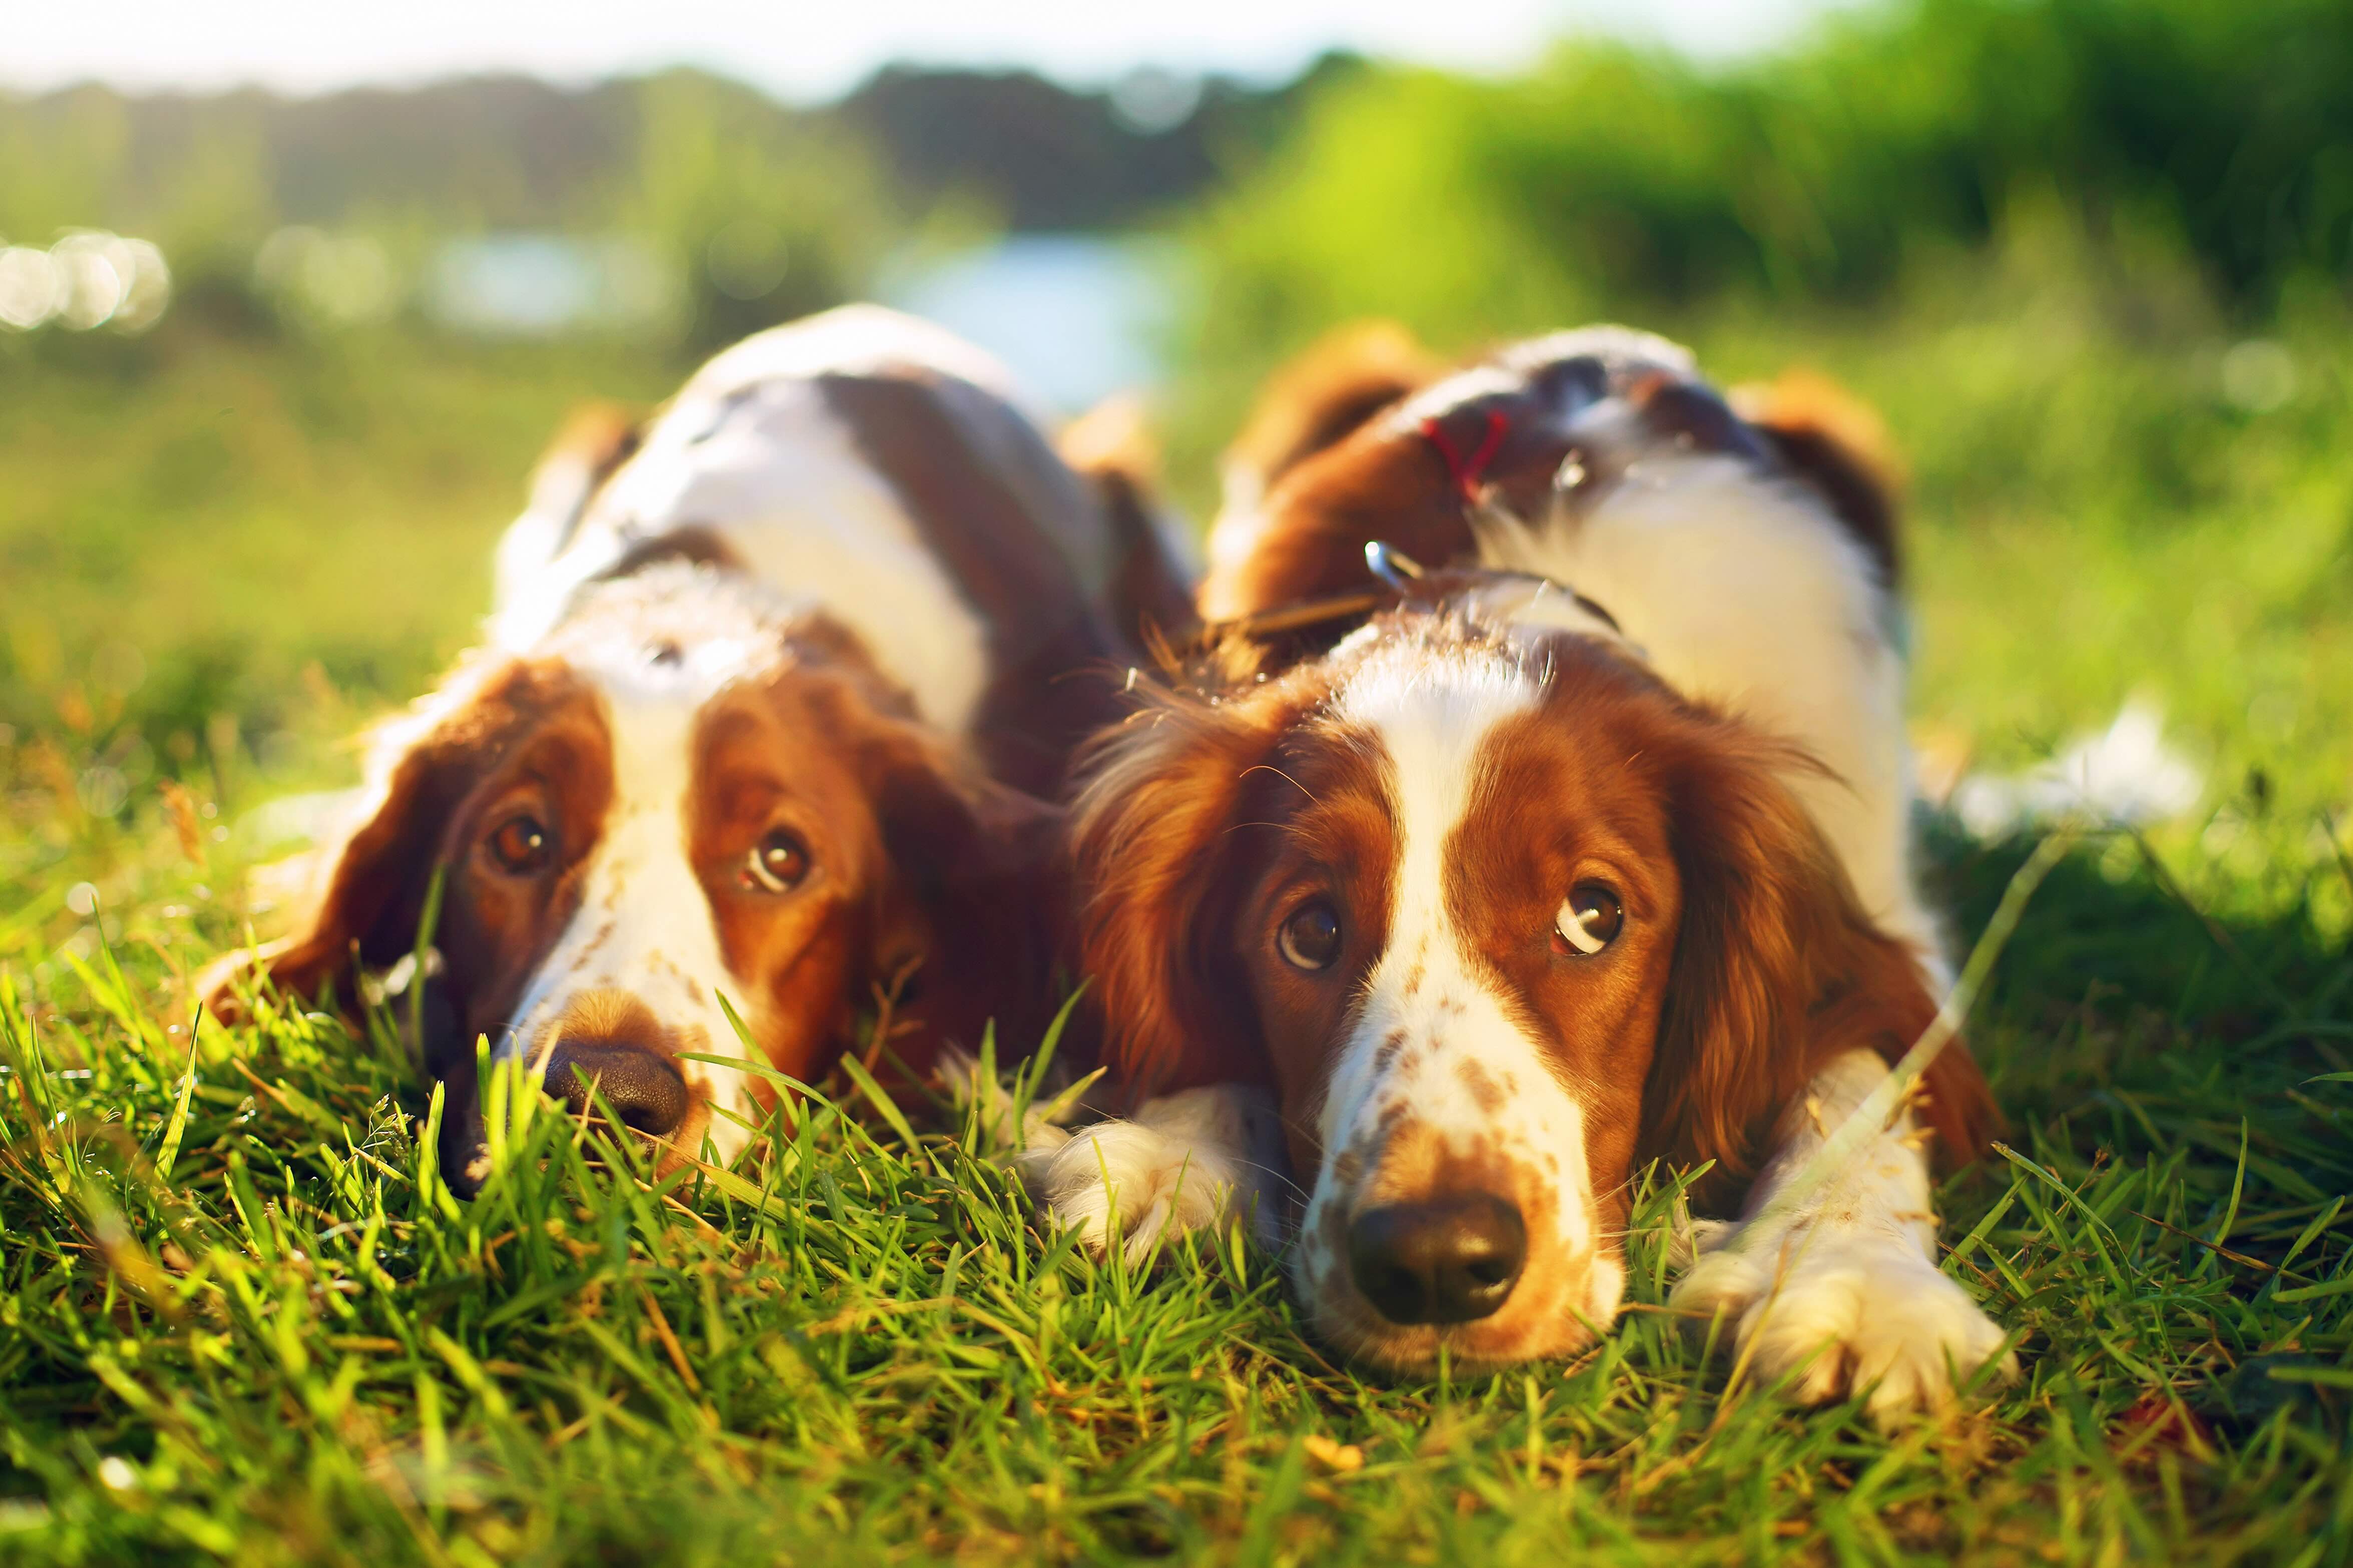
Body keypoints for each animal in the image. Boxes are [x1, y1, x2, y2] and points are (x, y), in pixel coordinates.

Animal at [1040, 322, 2014, 1420]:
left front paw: (1853, 1278)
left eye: (1594, 914)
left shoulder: (1878, 905)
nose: (1434, 1261)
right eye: (1309, 932)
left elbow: (1858, 1077)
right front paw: (1179, 1149)